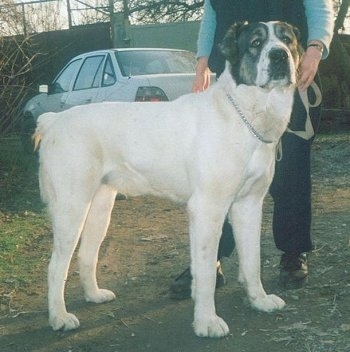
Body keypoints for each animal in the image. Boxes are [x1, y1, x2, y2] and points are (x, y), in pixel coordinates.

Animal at [34, 20, 302, 338]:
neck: (243, 113)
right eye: (256, 43)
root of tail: (54, 121)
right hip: (72, 208)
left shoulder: (248, 206)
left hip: (99, 208)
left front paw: (258, 300)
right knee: (55, 267)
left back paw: (94, 295)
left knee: (86, 254)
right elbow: (206, 273)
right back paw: (59, 317)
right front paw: (206, 321)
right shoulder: (207, 209)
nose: (279, 55)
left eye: (287, 40)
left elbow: (253, 261)